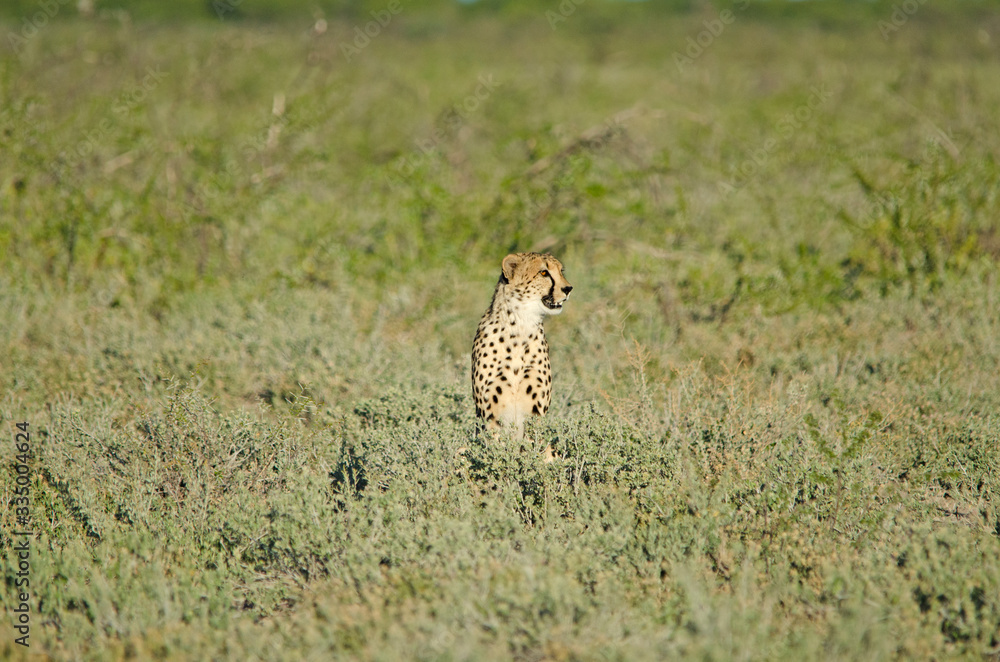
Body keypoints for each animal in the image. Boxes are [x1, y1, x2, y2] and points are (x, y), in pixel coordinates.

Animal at [471, 252, 573, 440]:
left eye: (561, 271)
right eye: (544, 273)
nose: (568, 288)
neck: (519, 327)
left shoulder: (537, 410)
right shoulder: (490, 413)